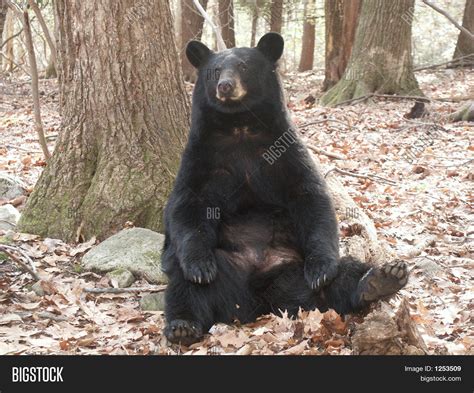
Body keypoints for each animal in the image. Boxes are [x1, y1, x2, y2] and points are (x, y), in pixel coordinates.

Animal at [162, 34, 408, 346]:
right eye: (215, 71)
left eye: (243, 66)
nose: (225, 86)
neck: (239, 126)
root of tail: (251, 301)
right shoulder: (201, 155)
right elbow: (189, 204)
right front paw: (199, 267)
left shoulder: (286, 149)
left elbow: (310, 195)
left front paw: (322, 269)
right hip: (221, 267)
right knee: (184, 287)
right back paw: (182, 325)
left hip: (292, 271)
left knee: (342, 276)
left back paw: (382, 278)